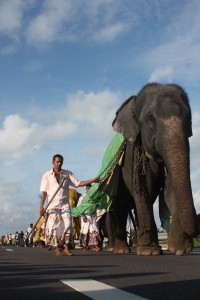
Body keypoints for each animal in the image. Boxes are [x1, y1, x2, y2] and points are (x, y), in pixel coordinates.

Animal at [111, 82, 199, 255]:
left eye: (189, 118)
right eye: (150, 118)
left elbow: (170, 190)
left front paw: (180, 250)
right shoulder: (133, 155)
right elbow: (143, 189)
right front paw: (149, 252)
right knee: (120, 207)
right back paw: (121, 250)